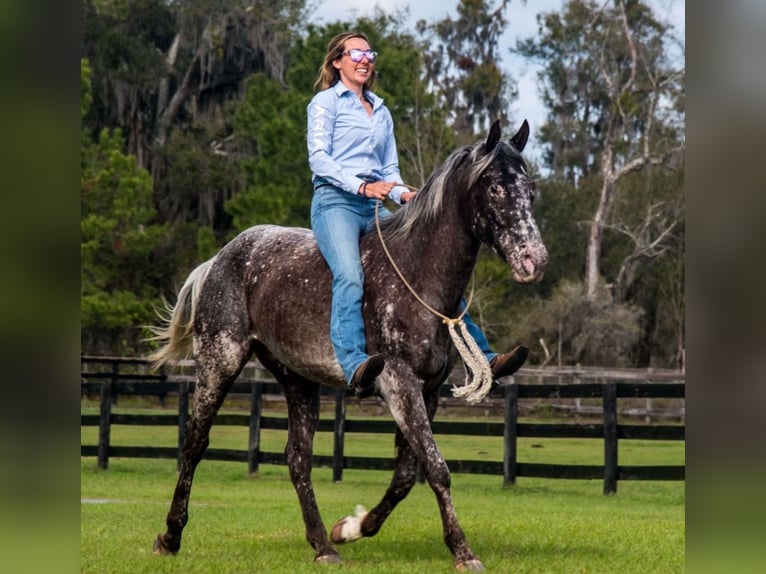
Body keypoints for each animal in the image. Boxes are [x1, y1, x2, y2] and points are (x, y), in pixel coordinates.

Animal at [148, 121, 544, 572]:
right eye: (495, 187)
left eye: (530, 189)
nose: (534, 261)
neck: (417, 273)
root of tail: (217, 260)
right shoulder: (399, 384)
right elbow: (436, 467)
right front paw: (463, 550)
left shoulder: (427, 391)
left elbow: (406, 474)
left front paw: (352, 527)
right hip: (220, 362)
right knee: (195, 443)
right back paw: (170, 537)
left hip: (297, 380)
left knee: (297, 460)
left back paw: (324, 545)